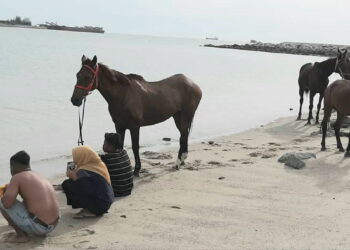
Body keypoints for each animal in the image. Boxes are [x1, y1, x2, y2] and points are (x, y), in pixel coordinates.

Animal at [70, 55, 202, 176]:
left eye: (88, 77)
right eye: (77, 75)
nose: (75, 100)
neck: (123, 95)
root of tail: (194, 84)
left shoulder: (134, 127)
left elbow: (135, 147)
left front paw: (137, 169)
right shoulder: (119, 126)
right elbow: (120, 146)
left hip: (186, 116)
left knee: (183, 136)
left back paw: (178, 163)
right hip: (177, 116)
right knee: (183, 136)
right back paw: (182, 160)